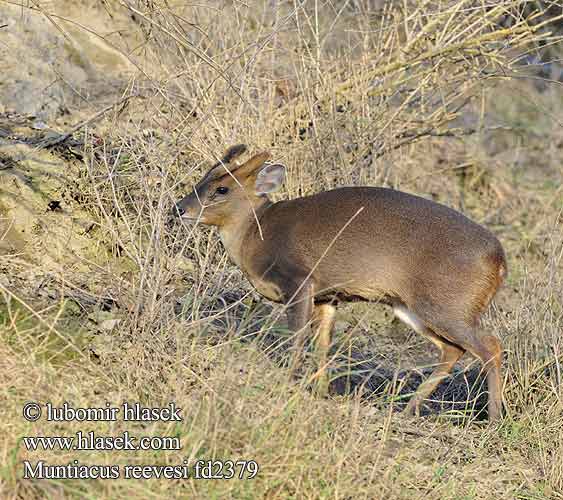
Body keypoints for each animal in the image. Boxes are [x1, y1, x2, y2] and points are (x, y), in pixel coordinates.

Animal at [174, 145, 508, 422]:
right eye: (202, 179)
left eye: (221, 189)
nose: (180, 208)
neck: (255, 237)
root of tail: (499, 260)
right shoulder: (327, 297)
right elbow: (322, 345)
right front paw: (321, 391)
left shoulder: (299, 280)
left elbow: (297, 339)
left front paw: (289, 382)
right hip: (413, 308)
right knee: (453, 350)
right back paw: (408, 409)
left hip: (444, 305)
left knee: (491, 346)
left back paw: (492, 419)